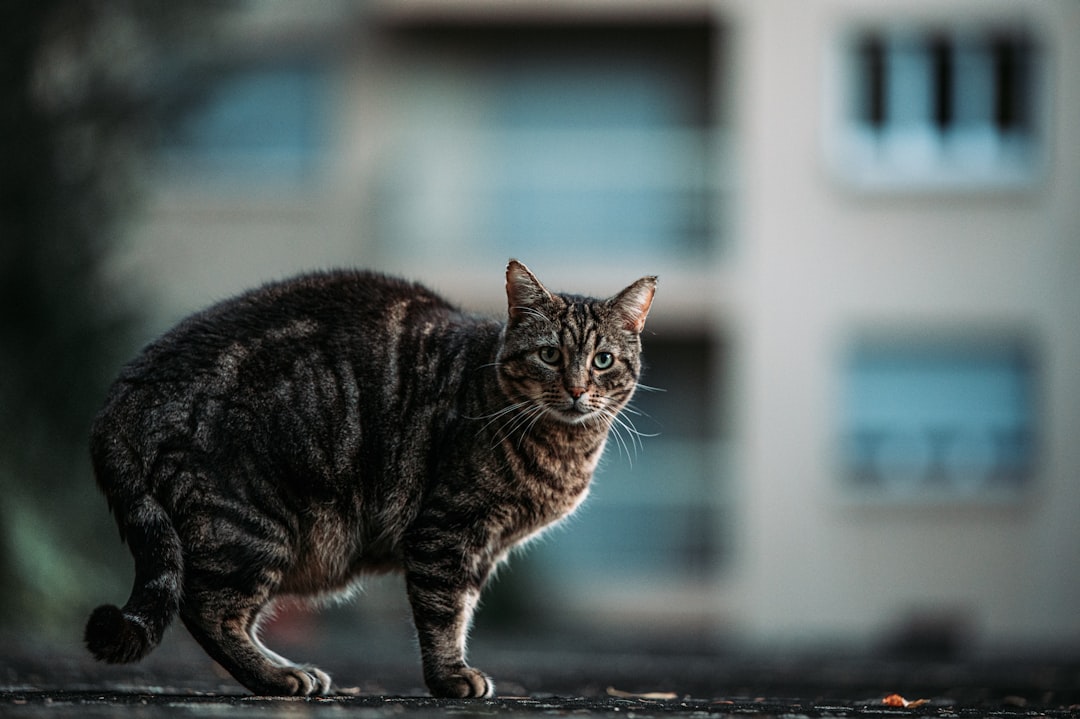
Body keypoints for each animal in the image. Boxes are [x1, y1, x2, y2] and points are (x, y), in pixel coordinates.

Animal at [84, 258, 652, 695]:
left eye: (603, 360)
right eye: (549, 354)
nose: (577, 390)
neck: (562, 449)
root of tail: (124, 390)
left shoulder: (481, 549)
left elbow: (463, 606)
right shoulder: (446, 531)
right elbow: (445, 611)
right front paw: (450, 677)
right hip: (249, 524)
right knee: (207, 609)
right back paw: (279, 676)